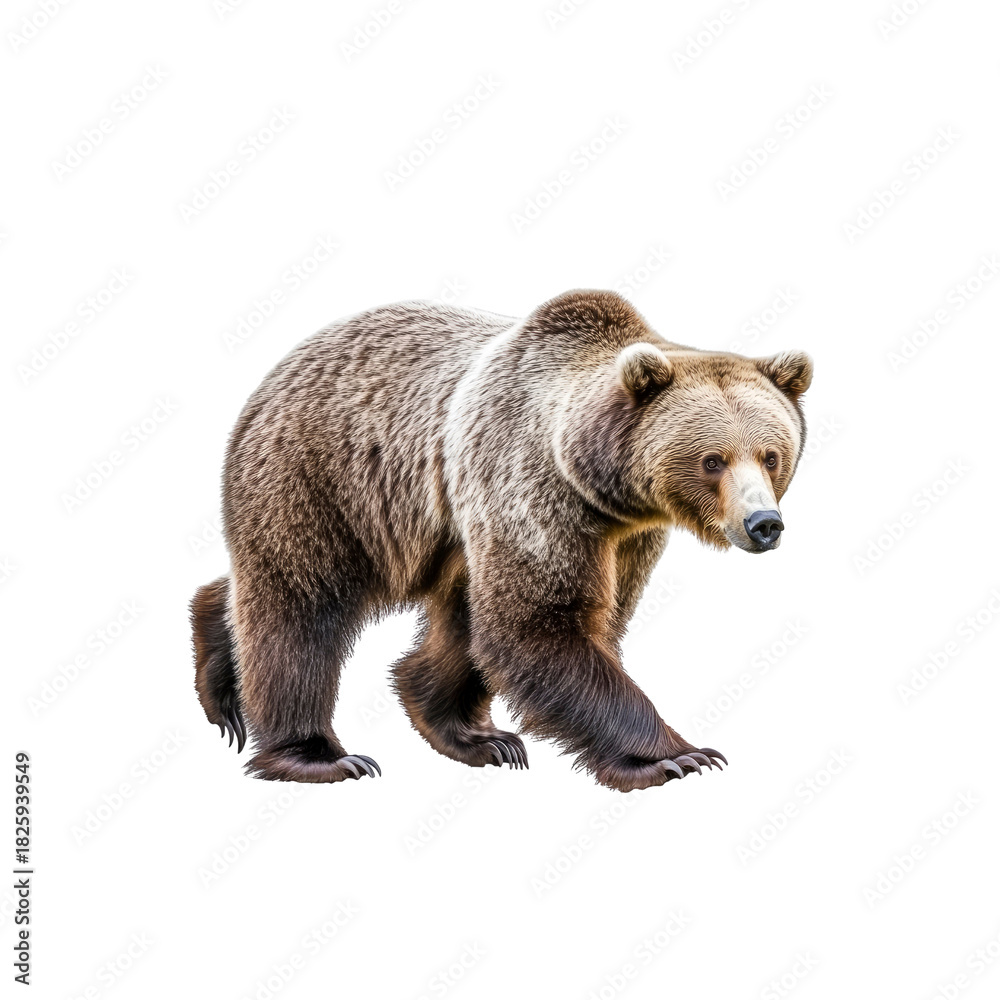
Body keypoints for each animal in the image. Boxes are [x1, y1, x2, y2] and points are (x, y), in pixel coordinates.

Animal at [191, 289, 812, 791]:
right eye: (713, 460)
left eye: (771, 454)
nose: (764, 523)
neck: (597, 478)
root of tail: (278, 369)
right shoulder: (531, 485)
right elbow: (539, 624)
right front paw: (677, 756)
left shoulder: (626, 538)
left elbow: (549, 623)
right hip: (325, 476)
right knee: (299, 601)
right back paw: (316, 753)